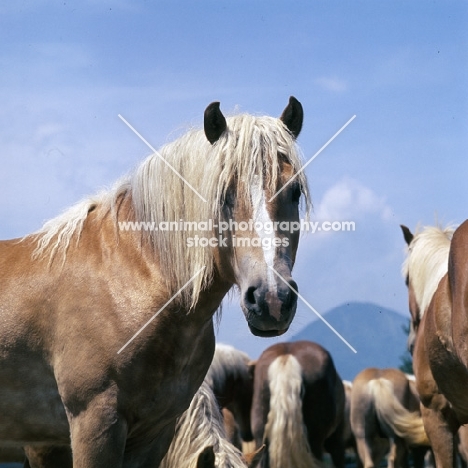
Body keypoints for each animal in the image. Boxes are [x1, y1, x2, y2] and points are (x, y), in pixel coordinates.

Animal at [0, 96, 310, 468]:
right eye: (223, 194)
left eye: (294, 191)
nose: (272, 301)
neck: (129, 280)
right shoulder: (91, 427)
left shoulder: (154, 433)